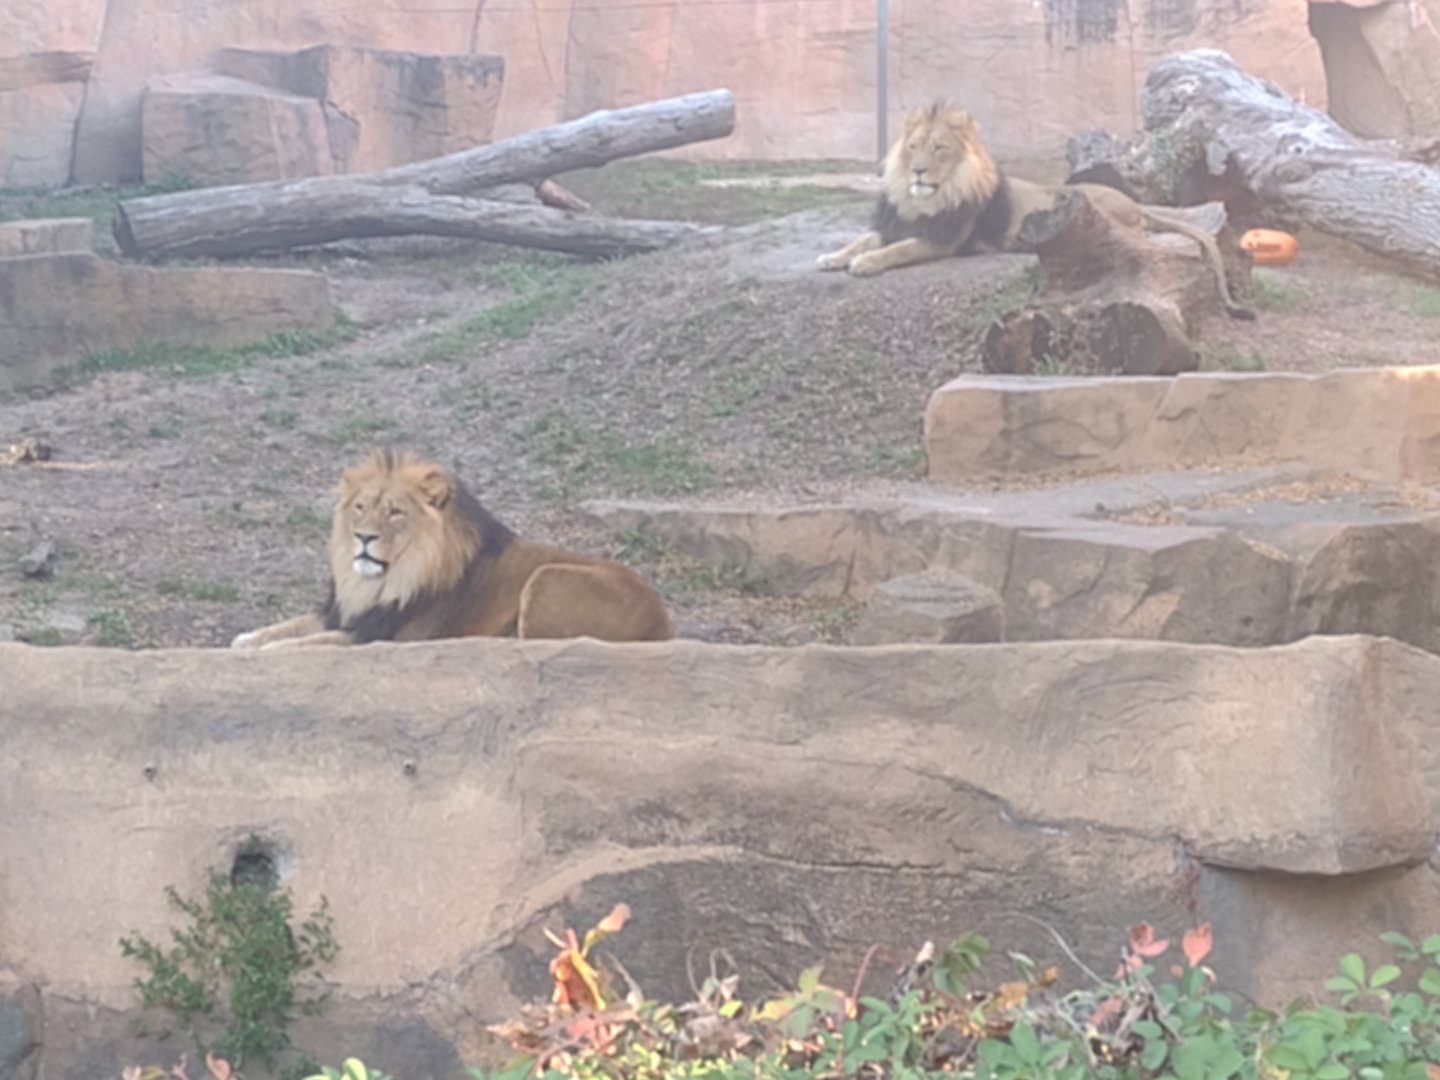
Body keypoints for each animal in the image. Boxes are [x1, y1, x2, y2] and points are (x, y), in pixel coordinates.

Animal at [230, 449, 673, 649]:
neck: (381, 580)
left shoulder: (385, 636)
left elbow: (310, 642)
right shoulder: (346, 612)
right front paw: (249, 638)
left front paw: (270, 649)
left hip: (548, 577)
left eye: (395, 513)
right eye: (361, 508)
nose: (363, 538)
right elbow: (294, 625)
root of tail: (662, 622)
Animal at [817, 102, 1255, 320]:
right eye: (914, 147)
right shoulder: (898, 223)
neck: (922, 198)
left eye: (939, 148)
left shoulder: (943, 240)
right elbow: (864, 238)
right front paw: (832, 257)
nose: (919, 170)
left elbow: (897, 250)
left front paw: (865, 264)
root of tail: (1134, 202)